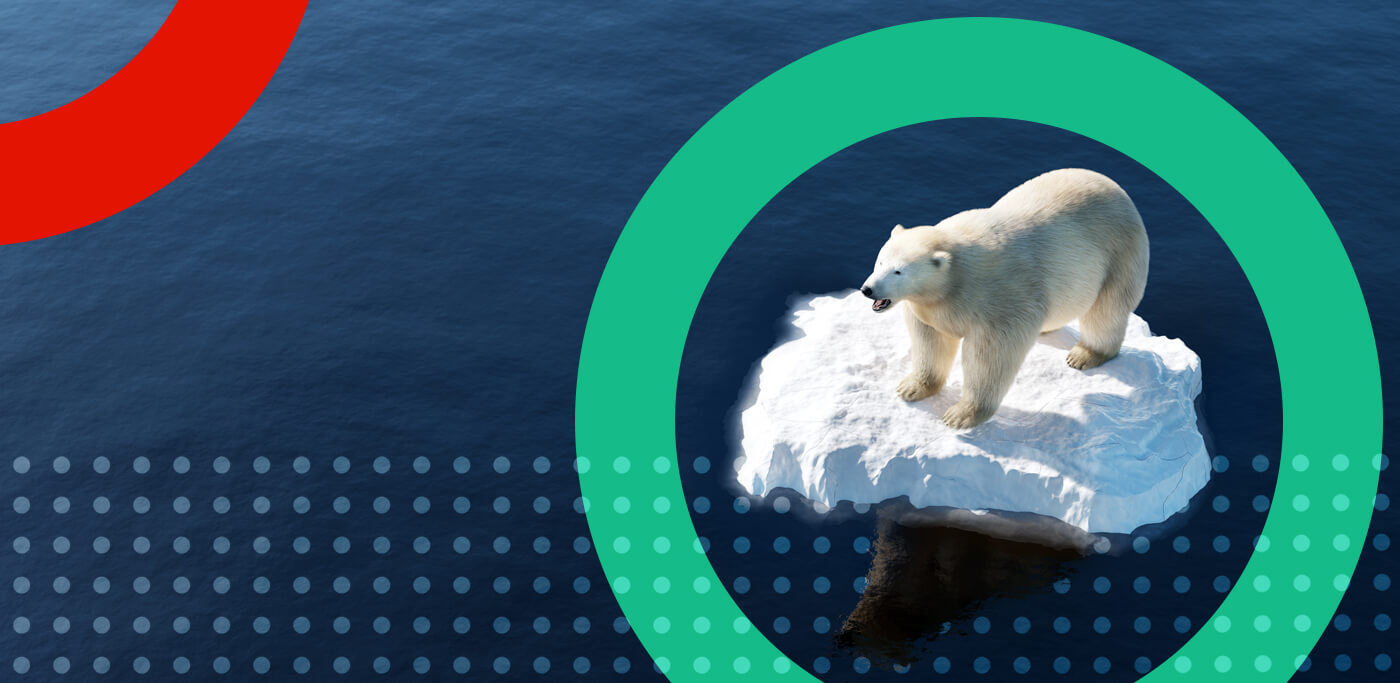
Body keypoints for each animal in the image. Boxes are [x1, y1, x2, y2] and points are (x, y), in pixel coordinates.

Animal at [860, 168, 1149, 429]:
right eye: (880, 260)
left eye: (899, 270)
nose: (868, 290)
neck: (957, 274)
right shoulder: (929, 306)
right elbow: (930, 340)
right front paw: (911, 388)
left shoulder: (1002, 298)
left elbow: (990, 357)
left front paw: (960, 415)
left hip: (1119, 254)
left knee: (1106, 311)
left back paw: (1085, 355)